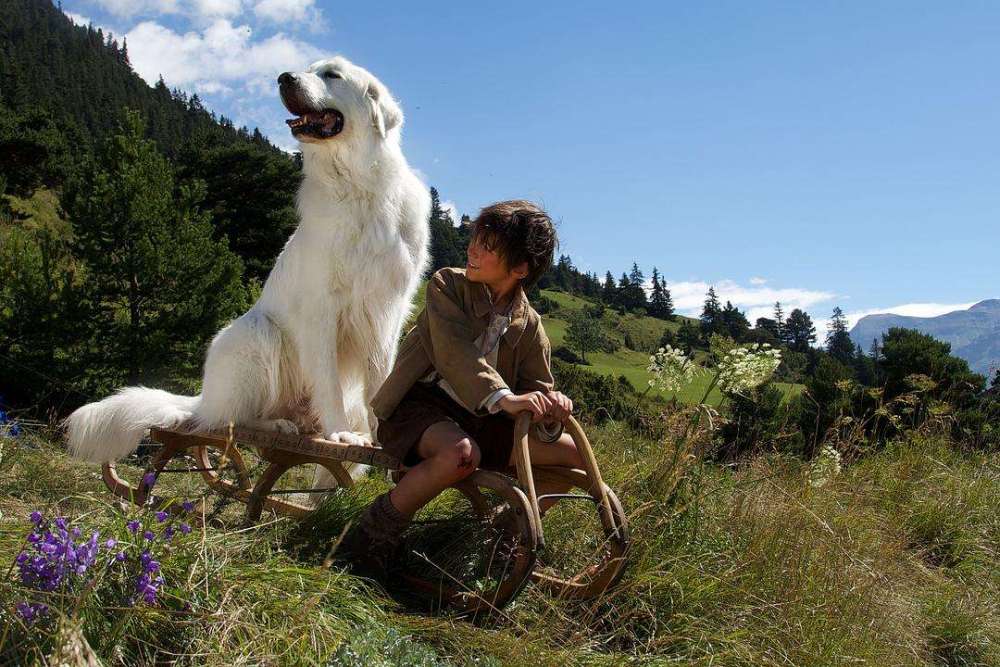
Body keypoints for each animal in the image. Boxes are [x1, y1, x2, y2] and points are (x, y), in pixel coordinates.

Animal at [64, 57, 432, 478]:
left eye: (332, 75)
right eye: (309, 69)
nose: (284, 78)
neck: (358, 187)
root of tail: (203, 397)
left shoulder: (387, 311)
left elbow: (382, 381)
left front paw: (382, 437)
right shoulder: (322, 310)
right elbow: (328, 382)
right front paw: (340, 434)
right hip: (257, 335)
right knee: (229, 420)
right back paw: (279, 424)